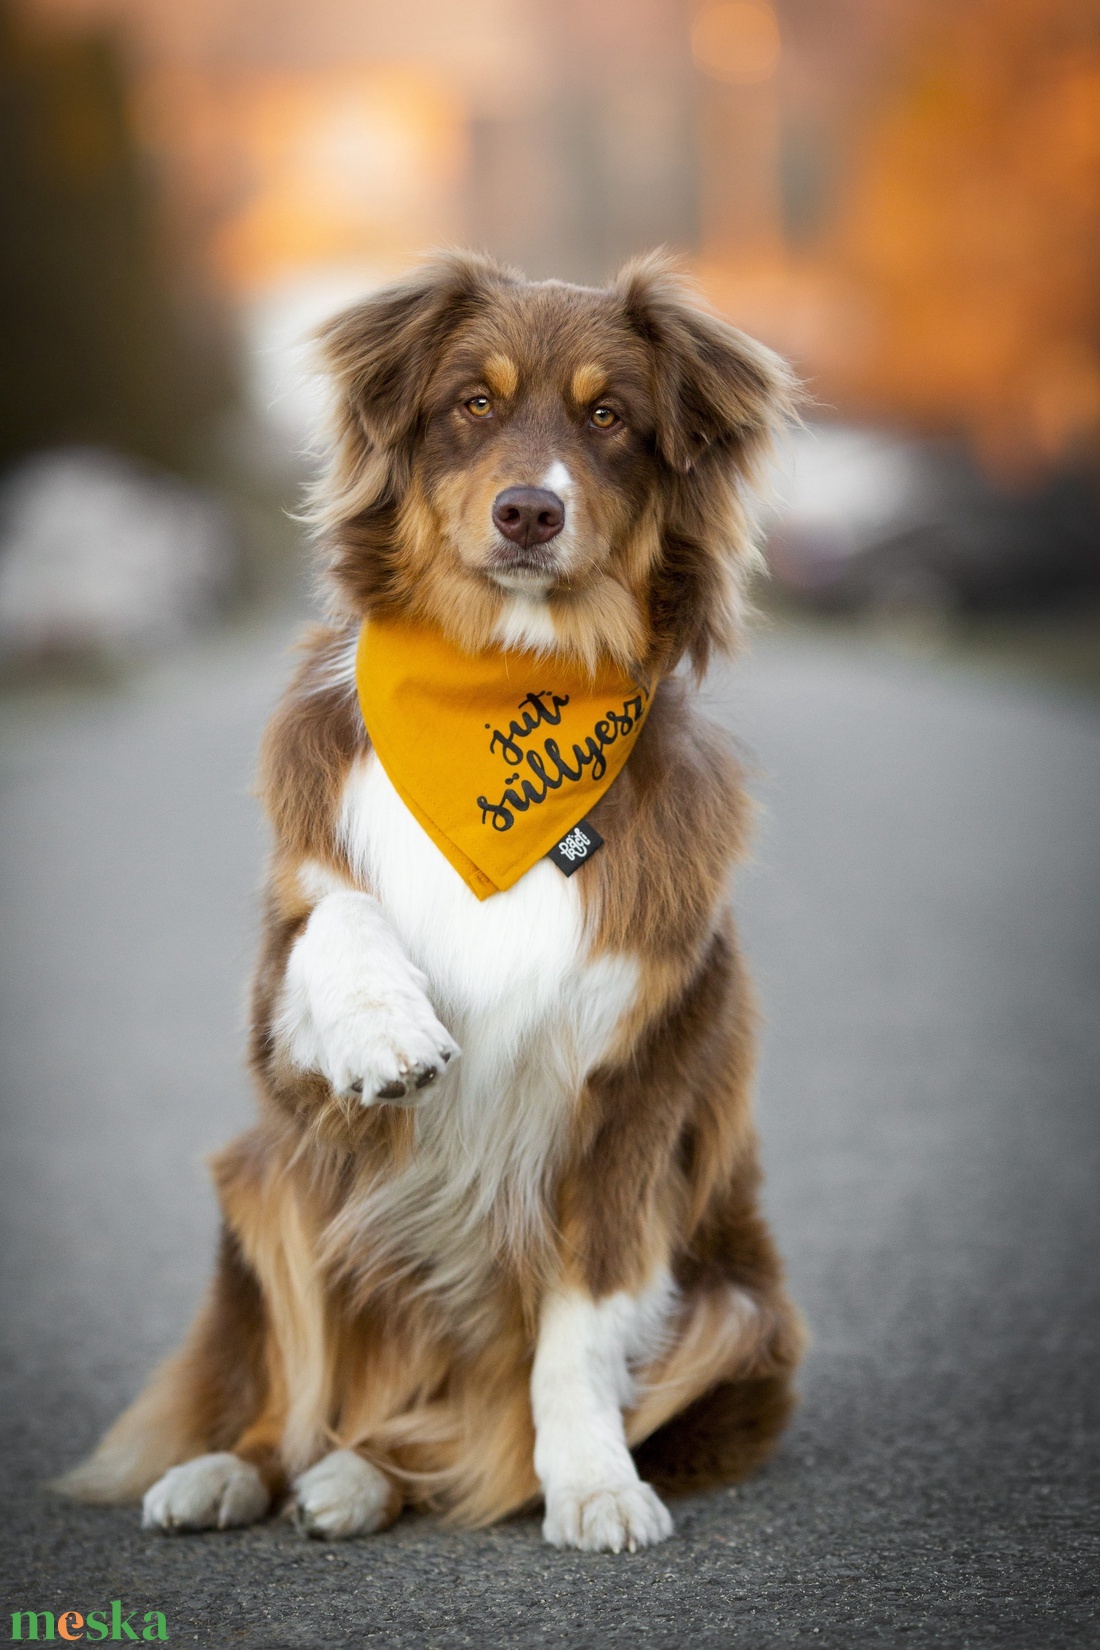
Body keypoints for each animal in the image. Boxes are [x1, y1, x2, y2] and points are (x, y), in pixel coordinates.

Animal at [66, 250, 808, 1551]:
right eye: (473, 402)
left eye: (608, 417)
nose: (528, 512)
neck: (501, 687)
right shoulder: (277, 1020)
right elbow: (336, 918)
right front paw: (387, 1029)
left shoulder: (636, 1095)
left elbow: (576, 1333)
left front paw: (594, 1482)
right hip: (270, 1181)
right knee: (302, 1384)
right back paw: (241, 1474)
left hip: (734, 1305)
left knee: (451, 1442)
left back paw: (370, 1477)